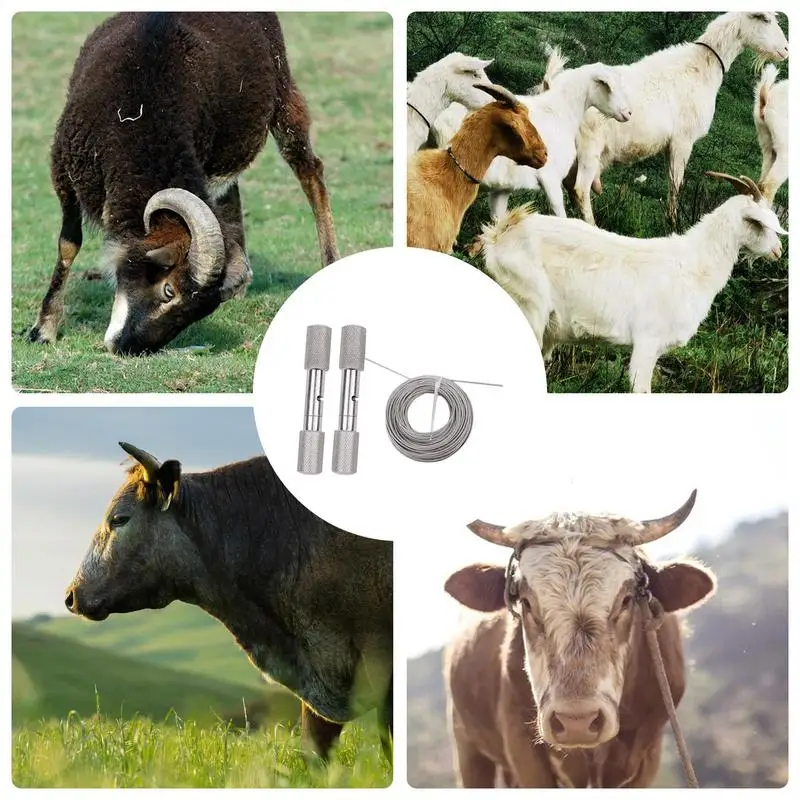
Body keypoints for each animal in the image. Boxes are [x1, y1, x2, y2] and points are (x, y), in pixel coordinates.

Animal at [28, 12, 338, 355]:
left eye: (197, 313)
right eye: (168, 291)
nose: (128, 349)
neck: (141, 114)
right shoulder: (63, 170)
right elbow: (69, 243)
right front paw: (43, 330)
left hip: (280, 99)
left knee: (310, 173)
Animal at [444, 491, 715, 788]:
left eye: (626, 599)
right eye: (526, 602)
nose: (577, 722)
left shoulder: (647, 756)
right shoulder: (524, 753)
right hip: (467, 746)